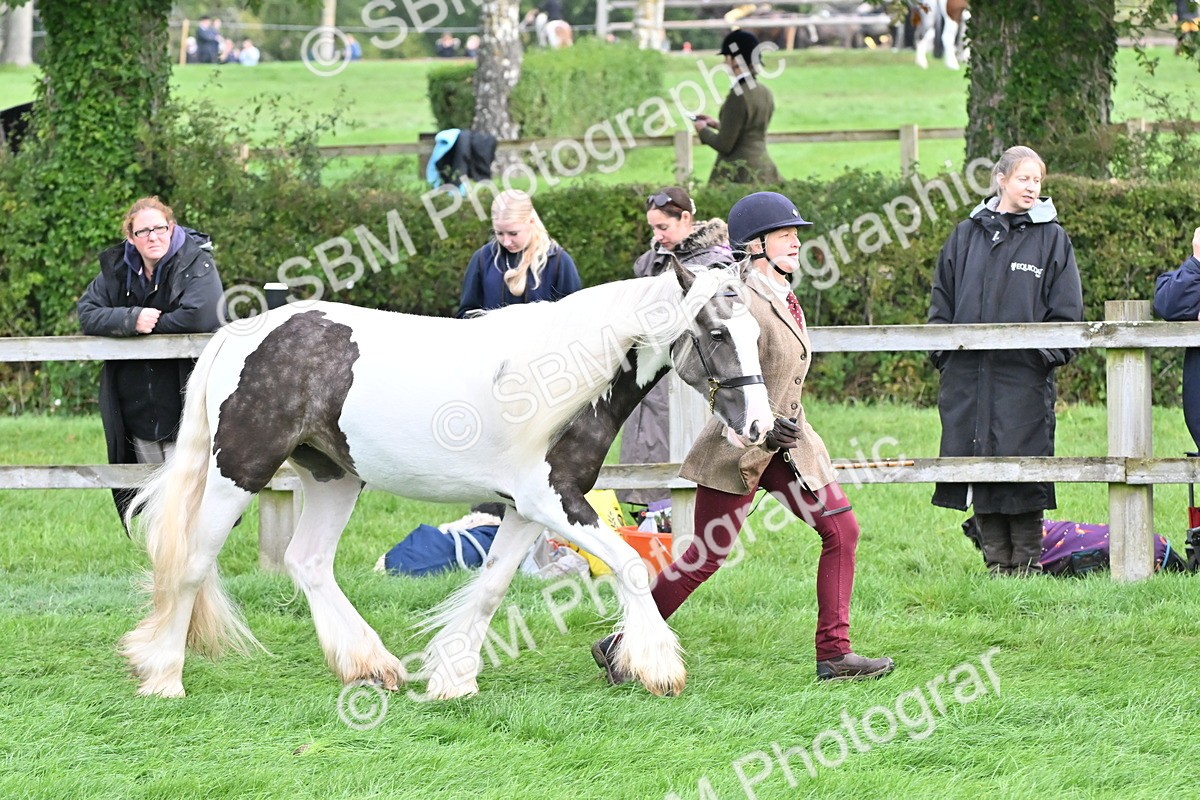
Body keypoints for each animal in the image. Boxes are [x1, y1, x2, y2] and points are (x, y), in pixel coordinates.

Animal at [120, 262, 776, 700]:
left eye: (755, 333)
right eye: (716, 334)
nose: (764, 428)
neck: (566, 381)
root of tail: (245, 335)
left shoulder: (525, 509)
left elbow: (490, 588)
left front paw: (452, 678)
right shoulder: (556, 501)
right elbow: (632, 566)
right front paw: (658, 667)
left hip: (334, 478)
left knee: (307, 563)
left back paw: (370, 665)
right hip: (238, 474)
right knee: (192, 564)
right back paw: (164, 677)